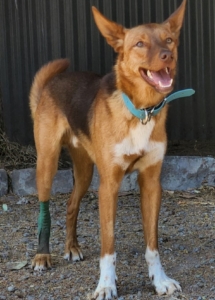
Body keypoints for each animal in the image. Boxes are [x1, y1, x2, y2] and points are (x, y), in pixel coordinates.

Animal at [29, 1, 187, 298]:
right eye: (139, 43)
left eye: (169, 40)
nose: (168, 56)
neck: (141, 112)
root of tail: (52, 84)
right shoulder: (109, 186)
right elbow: (108, 245)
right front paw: (106, 285)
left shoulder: (151, 182)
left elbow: (152, 244)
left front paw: (159, 280)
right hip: (47, 162)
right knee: (45, 207)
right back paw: (42, 255)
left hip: (85, 171)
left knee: (71, 205)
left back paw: (72, 247)